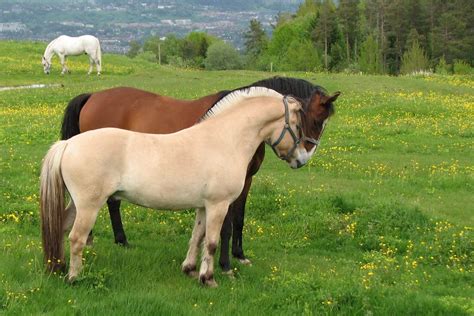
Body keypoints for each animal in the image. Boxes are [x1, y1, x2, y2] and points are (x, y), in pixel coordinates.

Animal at [39, 86, 314, 286]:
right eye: (297, 125)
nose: (301, 159)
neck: (224, 140)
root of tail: (68, 144)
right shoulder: (219, 205)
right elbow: (212, 242)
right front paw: (209, 279)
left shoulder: (203, 206)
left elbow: (197, 237)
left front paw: (190, 270)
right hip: (89, 206)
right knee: (76, 237)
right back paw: (74, 277)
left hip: (77, 204)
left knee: (61, 228)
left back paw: (59, 267)